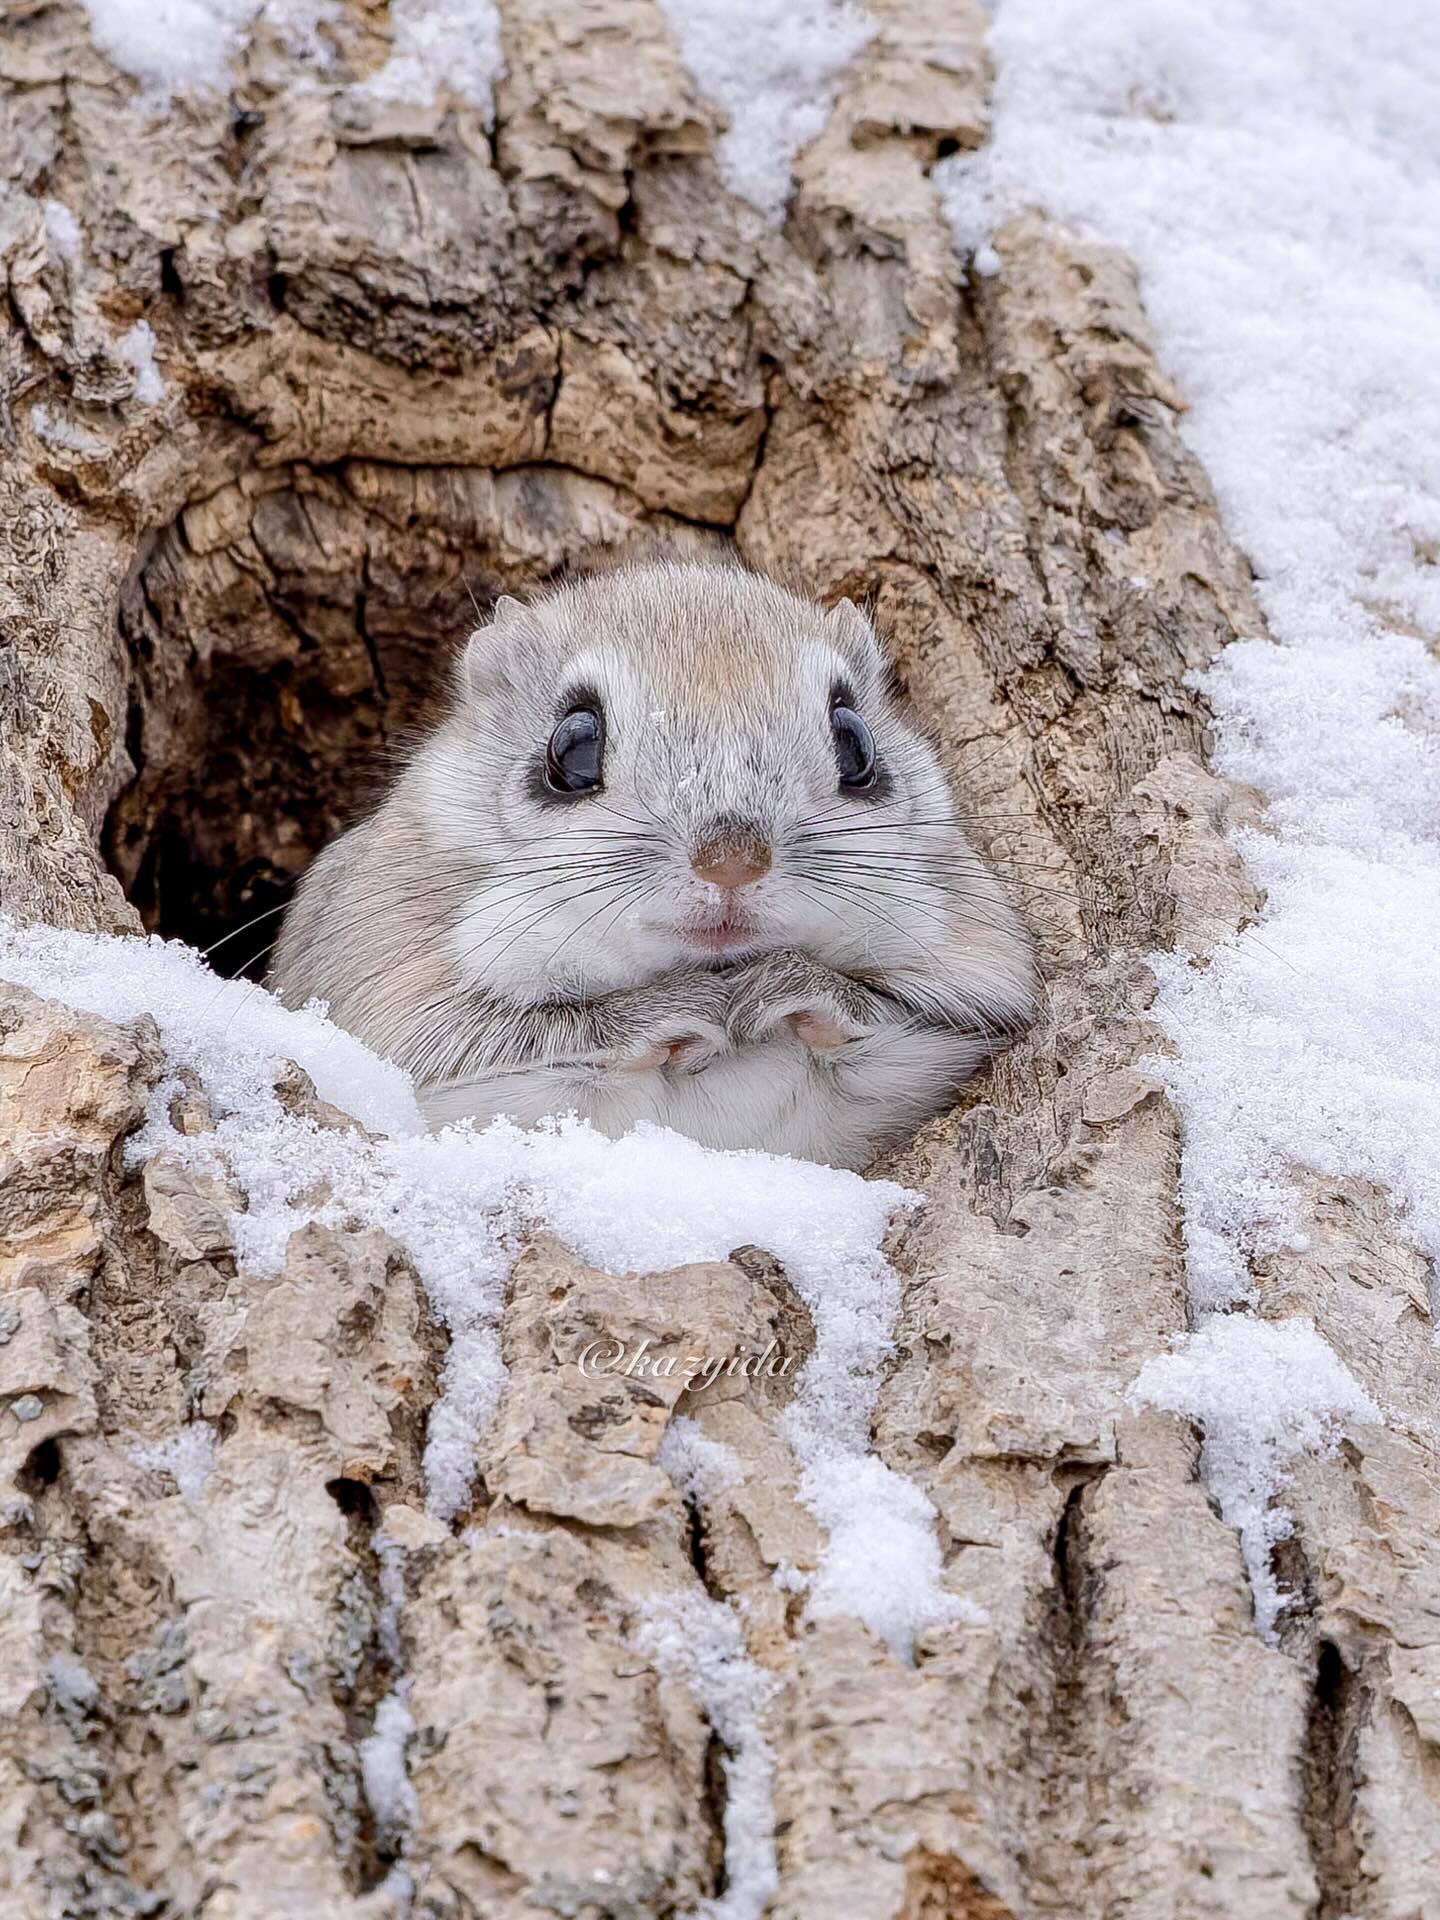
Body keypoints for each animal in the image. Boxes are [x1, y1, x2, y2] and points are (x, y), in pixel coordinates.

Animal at [269, 560, 1035, 1169]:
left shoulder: (985, 966)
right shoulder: (387, 985)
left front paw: (777, 990)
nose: (733, 864)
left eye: (856, 743)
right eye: (572, 744)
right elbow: (516, 1030)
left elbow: (933, 1005)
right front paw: (685, 1009)